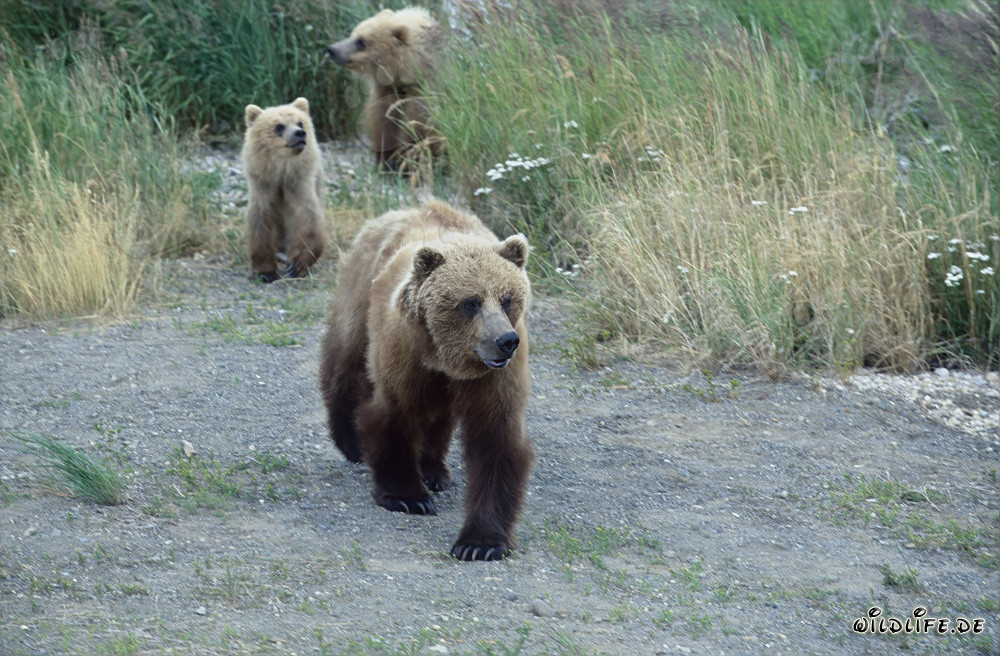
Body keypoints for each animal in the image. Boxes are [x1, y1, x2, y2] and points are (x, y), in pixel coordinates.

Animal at [241, 97, 325, 282]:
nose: (300, 133)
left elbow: (307, 217)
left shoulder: (299, 182)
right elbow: (261, 220)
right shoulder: (263, 185)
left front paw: (297, 266)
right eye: (279, 126)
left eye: (300, 122)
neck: (281, 171)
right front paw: (265, 272)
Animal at [318, 199, 533, 561]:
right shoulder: (404, 349)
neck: (447, 357)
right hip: (362, 293)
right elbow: (394, 414)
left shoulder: (494, 378)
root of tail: (407, 209)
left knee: (438, 414)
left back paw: (434, 470)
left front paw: (480, 543)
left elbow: (495, 439)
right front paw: (408, 497)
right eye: (470, 302)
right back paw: (350, 440)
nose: (506, 341)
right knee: (347, 360)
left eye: (507, 299)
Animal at [326, 7, 443, 172]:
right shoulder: (387, 91)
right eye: (353, 34)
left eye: (361, 41)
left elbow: (418, 125)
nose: (332, 49)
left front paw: (407, 162)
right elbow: (383, 122)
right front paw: (384, 160)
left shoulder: (424, 90)